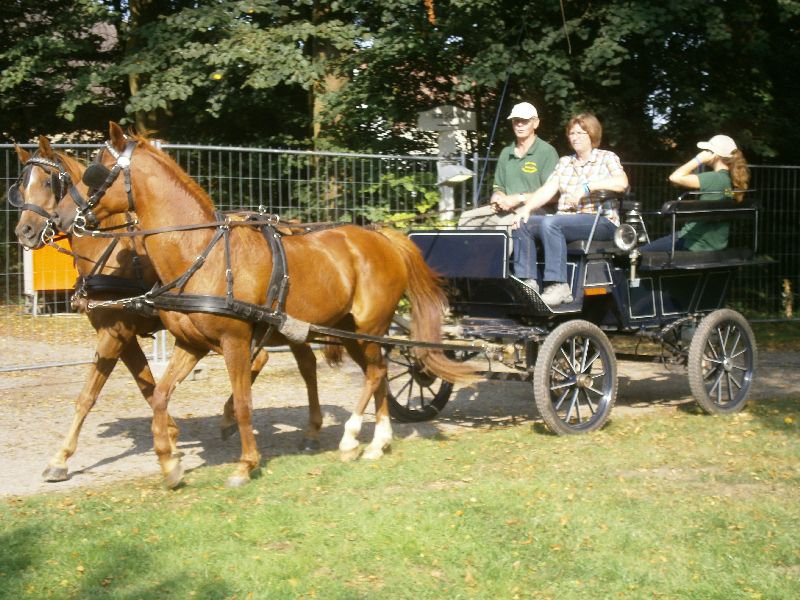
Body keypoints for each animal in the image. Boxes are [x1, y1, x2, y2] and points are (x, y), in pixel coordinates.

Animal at [10, 137, 322, 482]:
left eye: (49, 182)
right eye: (20, 186)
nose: (24, 231)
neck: (110, 250)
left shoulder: (115, 332)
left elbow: (88, 395)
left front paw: (61, 458)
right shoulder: (125, 336)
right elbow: (147, 385)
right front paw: (170, 438)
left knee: (298, 363)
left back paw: (300, 430)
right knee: (290, 360)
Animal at [65, 122, 472, 488]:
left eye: (95, 171)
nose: (72, 219)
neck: (202, 253)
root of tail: (381, 236)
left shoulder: (235, 340)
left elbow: (244, 402)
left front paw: (246, 465)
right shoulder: (190, 344)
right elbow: (160, 397)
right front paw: (169, 463)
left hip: (369, 327)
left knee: (374, 374)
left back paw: (351, 438)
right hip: (349, 330)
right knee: (381, 373)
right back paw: (378, 442)